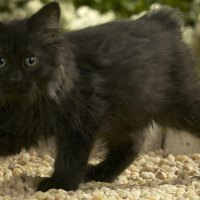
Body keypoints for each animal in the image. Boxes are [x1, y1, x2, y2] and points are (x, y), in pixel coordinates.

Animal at [0, 1, 198, 192]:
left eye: (30, 60)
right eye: (2, 62)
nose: (15, 79)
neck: (19, 105)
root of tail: (161, 21)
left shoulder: (83, 118)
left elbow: (71, 156)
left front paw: (61, 184)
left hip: (180, 103)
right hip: (123, 116)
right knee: (132, 144)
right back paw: (101, 173)